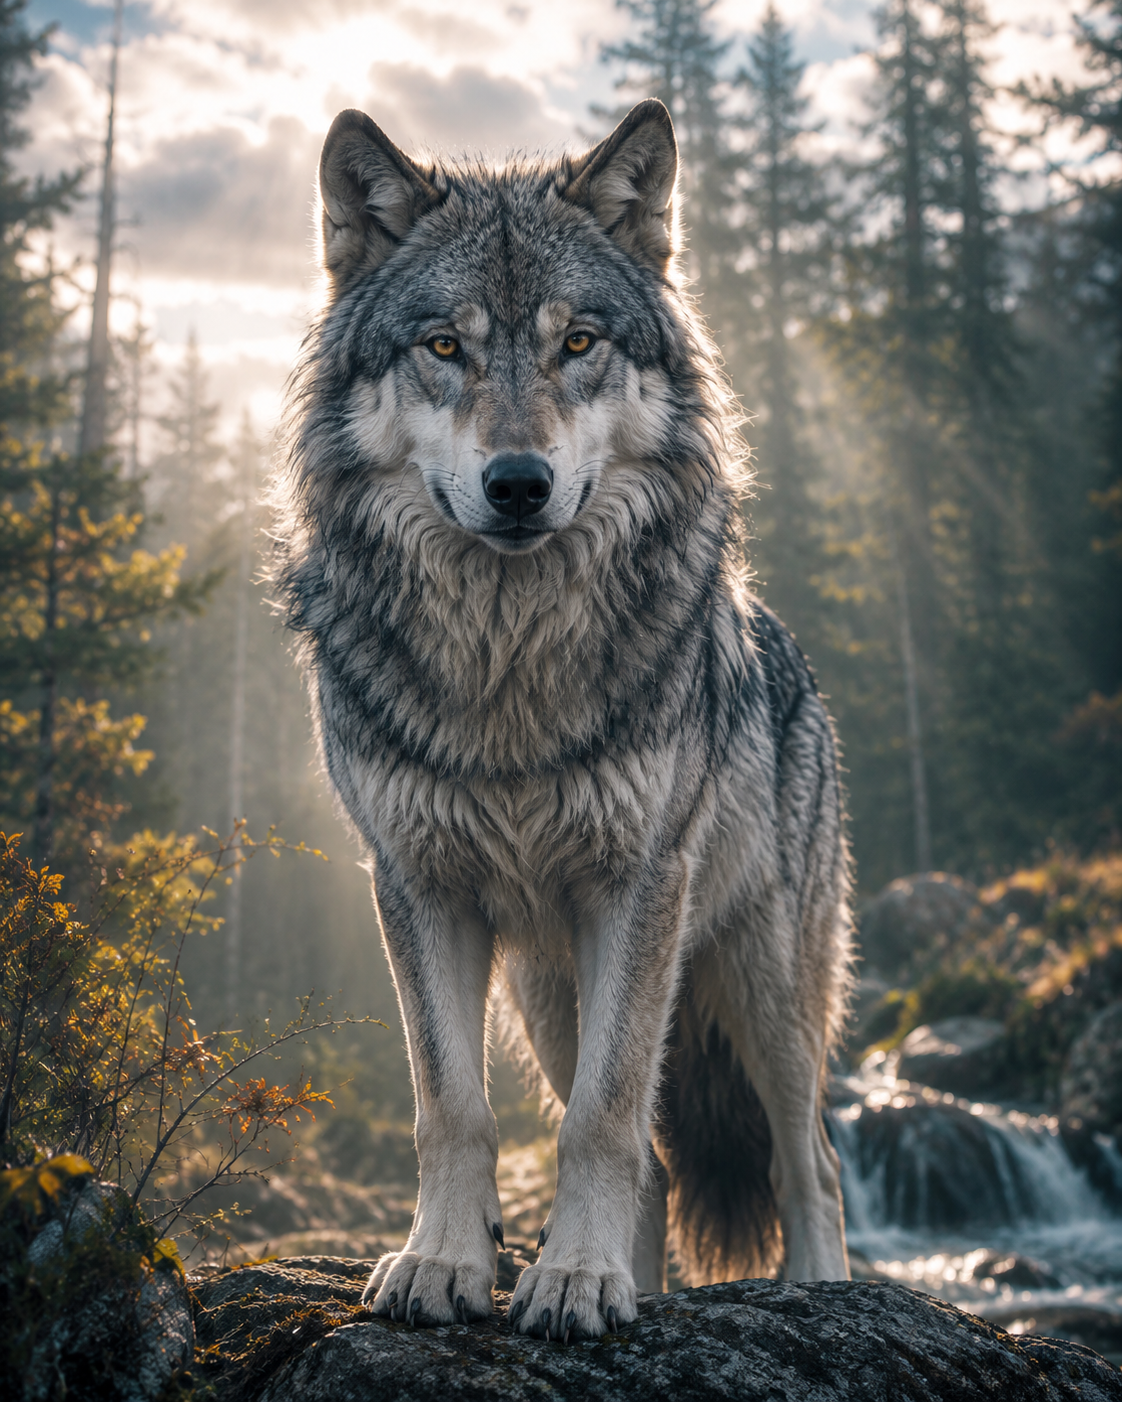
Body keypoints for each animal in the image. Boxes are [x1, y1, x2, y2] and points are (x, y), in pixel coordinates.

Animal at [274, 97, 852, 1342]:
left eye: (578, 343)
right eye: (445, 347)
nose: (519, 483)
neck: (509, 679)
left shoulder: (639, 885)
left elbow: (604, 1115)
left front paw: (575, 1277)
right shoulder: (417, 883)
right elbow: (453, 1106)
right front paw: (448, 1262)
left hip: (763, 985)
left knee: (811, 1161)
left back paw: (823, 1294)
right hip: (549, 996)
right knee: (662, 1165)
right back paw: (623, 1282)